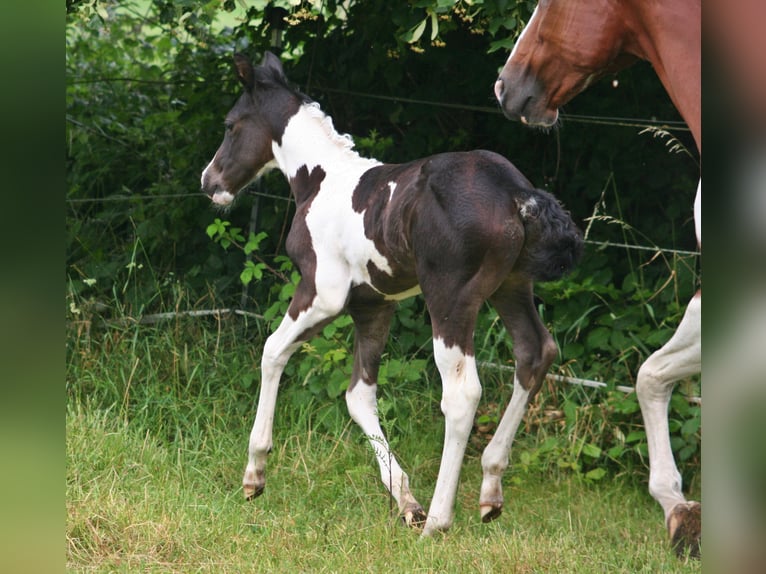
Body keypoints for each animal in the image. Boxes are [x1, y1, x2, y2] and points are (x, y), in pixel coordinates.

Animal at [201, 52, 582, 537]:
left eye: (231, 125)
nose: (209, 182)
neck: (320, 179)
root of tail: (516, 193)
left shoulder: (321, 294)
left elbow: (272, 351)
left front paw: (255, 474)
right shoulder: (374, 307)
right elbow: (358, 395)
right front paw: (404, 500)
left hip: (450, 300)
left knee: (463, 394)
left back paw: (438, 521)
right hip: (511, 287)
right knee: (535, 353)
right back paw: (490, 489)